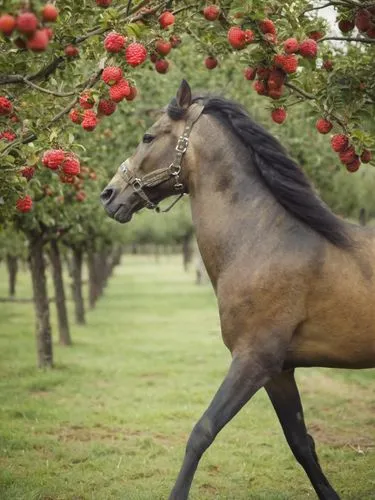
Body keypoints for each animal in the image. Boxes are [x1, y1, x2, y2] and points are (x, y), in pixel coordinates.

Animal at [100, 80, 375, 498]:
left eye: (148, 136)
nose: (109, 195)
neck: (262, 240)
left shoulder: (253, 361)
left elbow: (201, 432)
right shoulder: (279, 372)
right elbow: (301, 443)